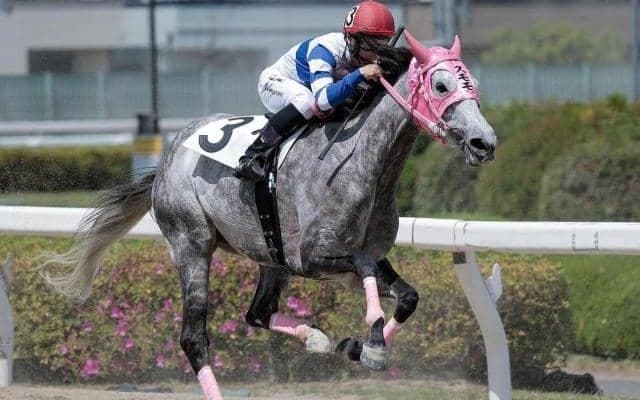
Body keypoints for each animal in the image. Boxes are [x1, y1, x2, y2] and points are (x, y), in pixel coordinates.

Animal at [39, 31, 496, 400]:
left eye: (472, 83)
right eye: (440, 84)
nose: (484, 142)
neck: (362, 162)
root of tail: (168, 159)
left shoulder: (357, 255)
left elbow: (407, 295)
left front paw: (360, 347)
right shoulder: (313, 257)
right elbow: (365, 270)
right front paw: (372, 344)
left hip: (270, 257)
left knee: (257, 313)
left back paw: (315, 338)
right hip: (192, 244)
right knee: (193, 338)